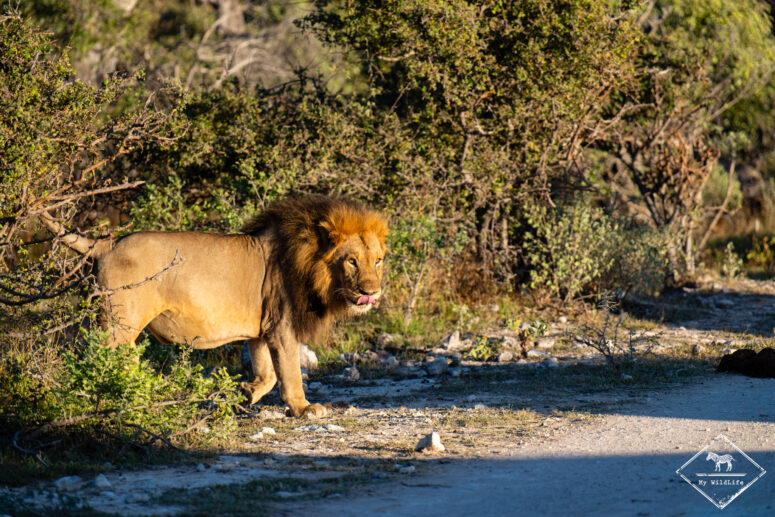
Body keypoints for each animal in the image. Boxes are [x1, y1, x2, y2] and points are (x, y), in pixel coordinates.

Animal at [41, 195, 388, 418]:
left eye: (378, 260)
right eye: (352, 261)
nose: (372, 293)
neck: (312, 262)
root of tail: (106, 242)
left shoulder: (262, 329)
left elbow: (267, 373)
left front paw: (245, 392)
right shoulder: (282, 326)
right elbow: (290, 373)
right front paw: (304, 408)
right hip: (119, 326)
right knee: (102, 359)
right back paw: (116, 396)